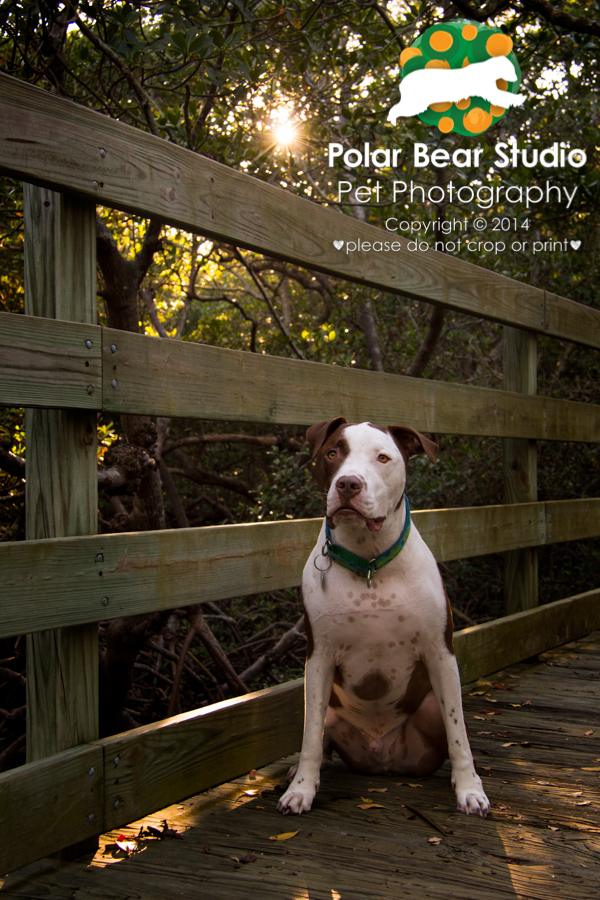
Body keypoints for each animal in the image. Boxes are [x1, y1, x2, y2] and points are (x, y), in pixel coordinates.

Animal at [278, 418, 490, 820]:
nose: (347, 484)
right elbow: (311, 736)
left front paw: (470, 789)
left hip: (429, 706)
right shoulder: (319, 657)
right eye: (333, 453)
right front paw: (301, 790)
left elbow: (459, 733)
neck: (370, 562)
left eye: (383, 458)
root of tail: (384, 757)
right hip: (329, 706)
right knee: (318, 734)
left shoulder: (441, 653)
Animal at [386, 53, 524, 123]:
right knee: (396, 108)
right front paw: (518, 99)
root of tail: (403, 82)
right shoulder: (487, 89)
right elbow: (501, 96)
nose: (516, 79)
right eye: (511, 69)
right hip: (416, 101)